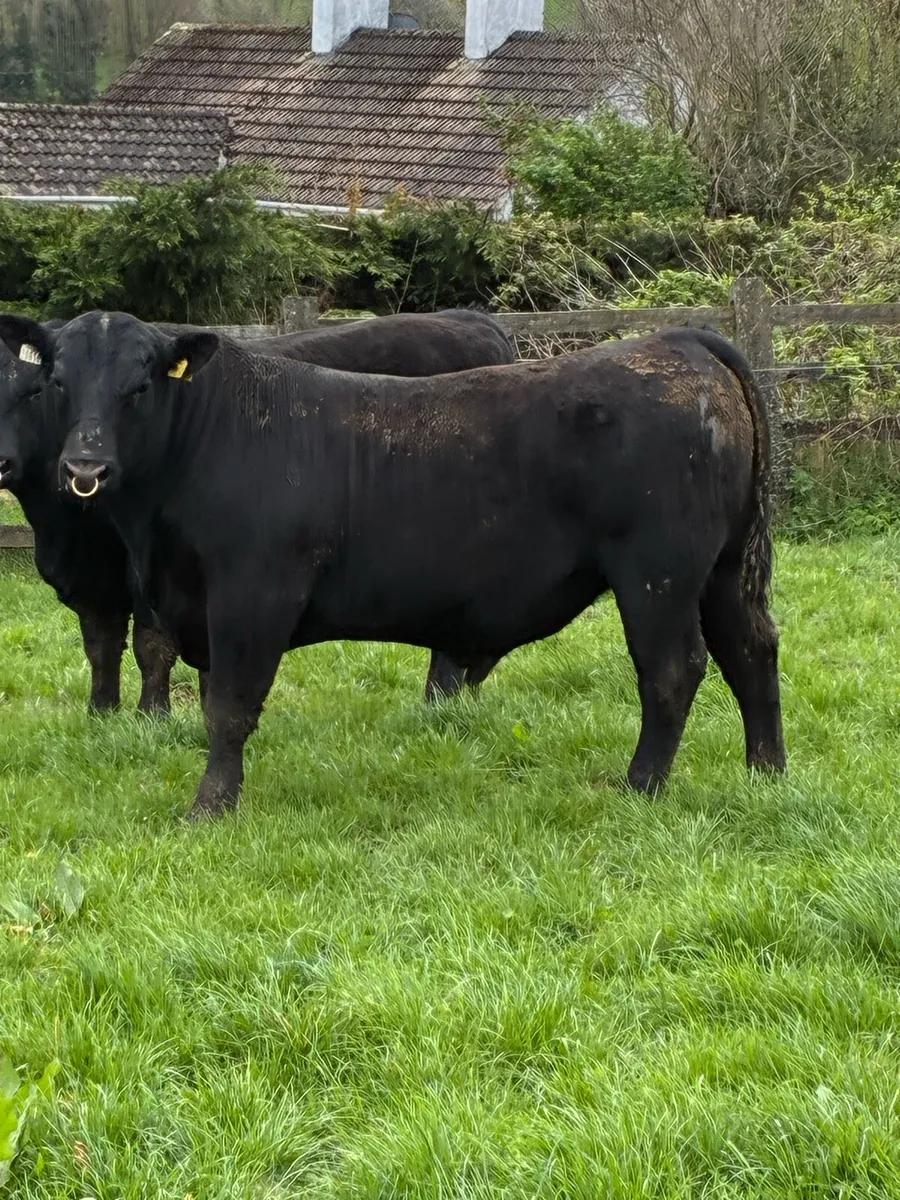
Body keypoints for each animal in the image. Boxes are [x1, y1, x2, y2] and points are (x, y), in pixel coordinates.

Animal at [0, 309, 514, 714]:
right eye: (57, 383)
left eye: (31, 392)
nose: (84, 467)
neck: (63, 528)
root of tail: (472, 317)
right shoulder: (96, 578)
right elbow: (101, 645)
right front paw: (102, 713)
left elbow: (153, 647)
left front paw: (153, 717)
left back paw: (440, 706)